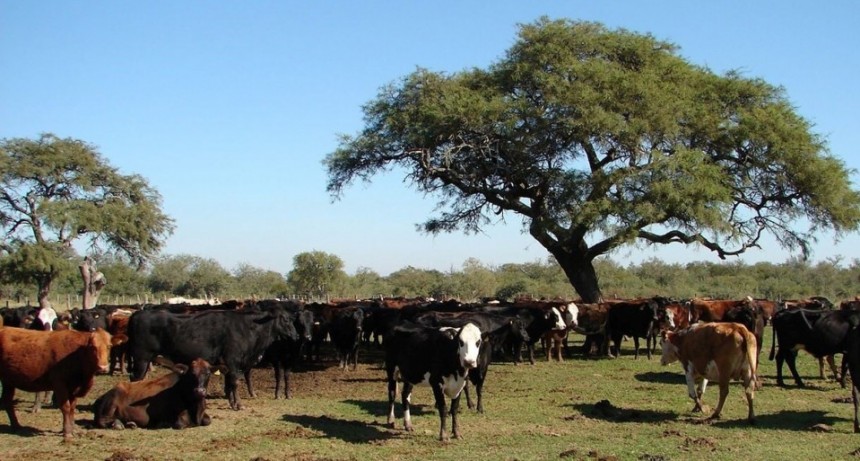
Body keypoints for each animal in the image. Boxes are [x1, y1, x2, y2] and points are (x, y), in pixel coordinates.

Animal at [93, 358, 222, 430]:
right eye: (191, 373)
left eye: (208, 373)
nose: (199, 391)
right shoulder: (178, 419)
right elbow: (182, 424)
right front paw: (162, 423)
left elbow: (208, 421)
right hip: (111, 403)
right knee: (103, 421)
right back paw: (118, 425)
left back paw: (130, 424)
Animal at [127, 306, 298, 410]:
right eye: (286, 319)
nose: (296, 336)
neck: (246, 328)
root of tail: (139, 313)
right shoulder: (233, 360)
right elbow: (235, 383)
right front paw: (238, 405)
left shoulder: (227, 364)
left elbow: (229, 384)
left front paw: (232, 402)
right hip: (142, 358)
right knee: (136, 380)